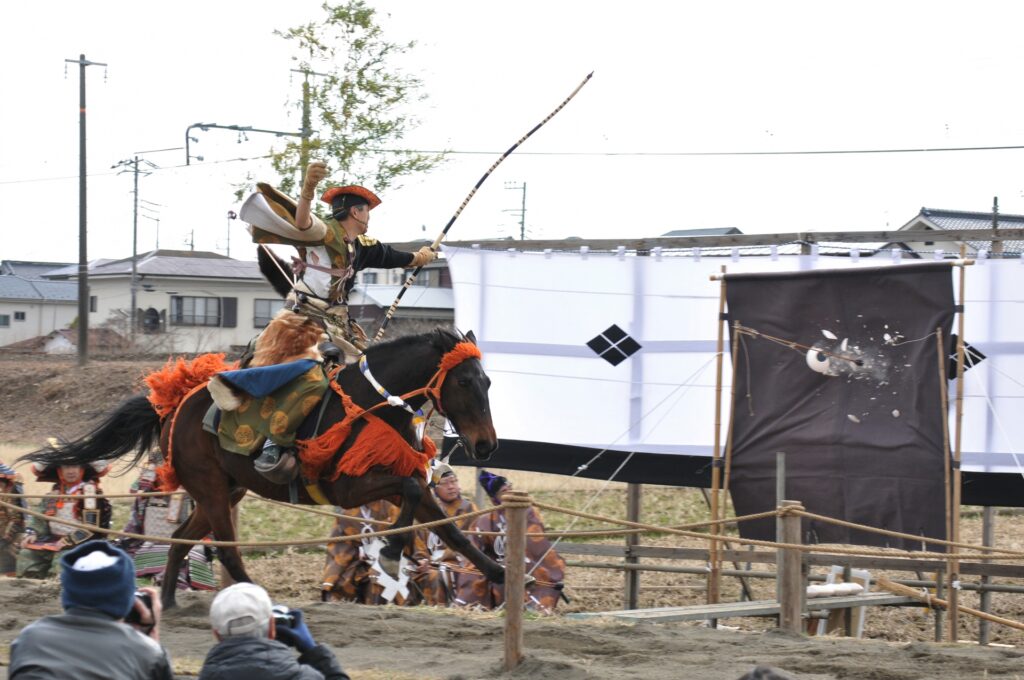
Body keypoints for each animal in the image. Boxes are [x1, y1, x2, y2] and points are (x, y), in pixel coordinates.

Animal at [20, 327, 503, 606]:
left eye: (487, 381)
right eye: (464, 381)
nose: (486, 445)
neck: (373, 403)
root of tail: (174, 404)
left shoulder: (398, 477)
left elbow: (449, 528)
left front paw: (498, 573)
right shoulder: (349, 486)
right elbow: (412, 491)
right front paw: (388, 553)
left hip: (221, 491)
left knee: (179, 542)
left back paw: (170, 603)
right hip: (212, 490)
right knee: (227, 552)